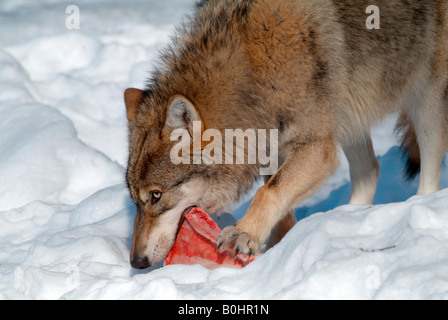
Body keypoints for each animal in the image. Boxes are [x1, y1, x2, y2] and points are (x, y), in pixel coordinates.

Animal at [125, 0, 448, 270]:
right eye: (136, 201)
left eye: (156, 195)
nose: (136, 263)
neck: (254, 71)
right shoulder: (272, 148)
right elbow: (280, 205)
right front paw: (276, 249)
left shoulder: (316, 147)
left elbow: (269, 193)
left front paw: (243, 233)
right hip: (348, 120)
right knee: (370, 170)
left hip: (425, 102)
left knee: (428, 171)